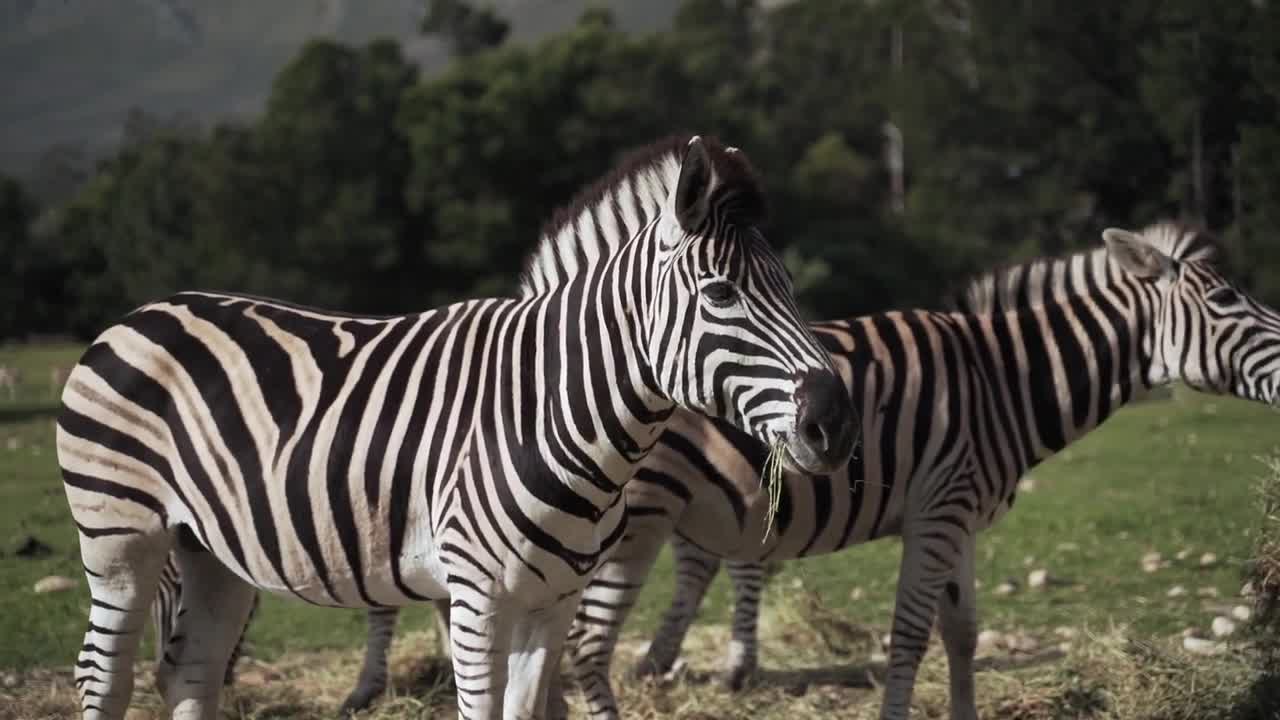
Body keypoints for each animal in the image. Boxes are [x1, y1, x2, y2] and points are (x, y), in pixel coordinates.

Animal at [60, 134, 860, 717]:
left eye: (790, 288)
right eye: (720, 294)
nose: (837, 422)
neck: (551, 414)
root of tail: (142, 313)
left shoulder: (553, 600)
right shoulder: (477, 598)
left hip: (212, 553)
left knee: (189, 676)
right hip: (121, 539)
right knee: (101, 675)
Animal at [294, 220, 1280, 717]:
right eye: (1232, 301)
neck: (1001, 378)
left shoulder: (956, 514)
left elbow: (962, 633)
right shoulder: (939, 507)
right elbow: (910, 637)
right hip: (618, 530)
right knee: (581, 649)